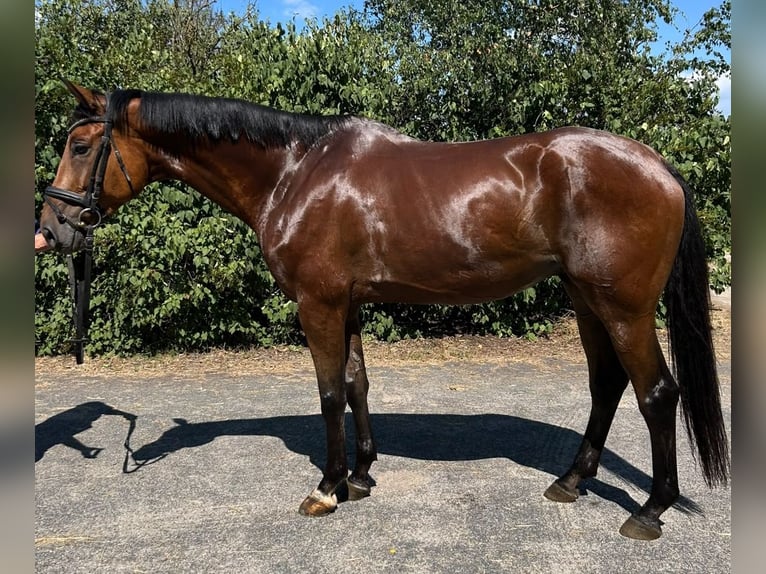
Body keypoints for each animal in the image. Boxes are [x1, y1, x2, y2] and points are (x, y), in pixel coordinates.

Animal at [38, 80, 729, 540]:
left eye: (81, 144)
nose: (52, 229)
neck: (296, 171)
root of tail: (660, 166)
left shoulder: (317, 303)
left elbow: (327, 392)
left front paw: (326, 489)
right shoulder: (347, 303)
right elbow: (355, 382)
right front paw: (362, 476)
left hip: (624, 307)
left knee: (656, 393)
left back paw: (650, 510)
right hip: (587, 300)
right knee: (607, 383)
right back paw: (571, 482)